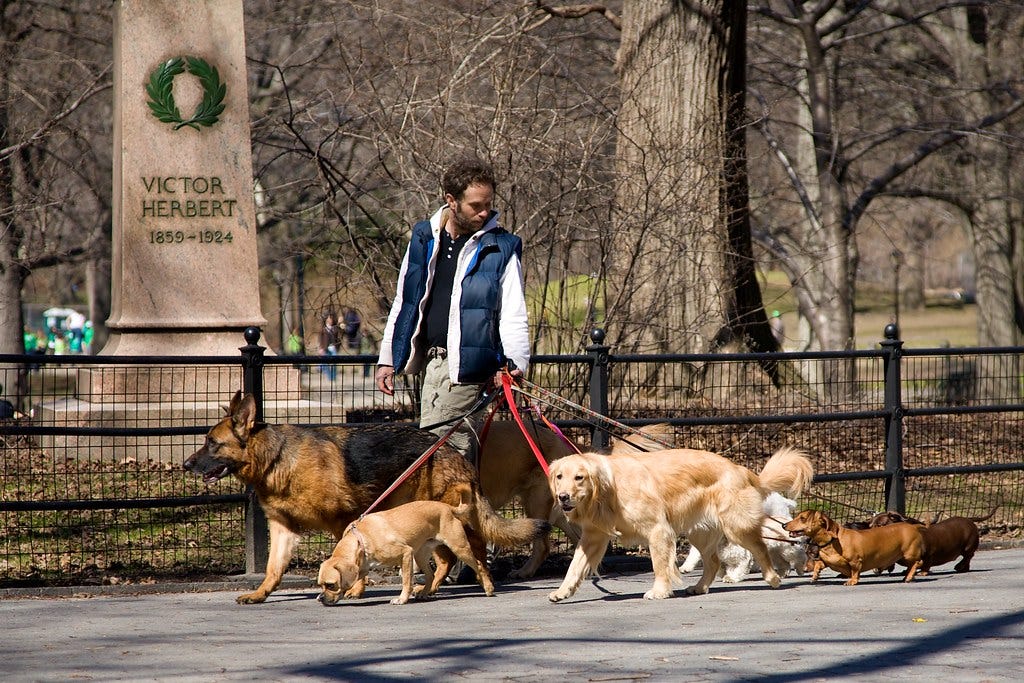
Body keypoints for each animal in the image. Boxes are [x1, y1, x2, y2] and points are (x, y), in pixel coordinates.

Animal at [319, 499, 495, 606]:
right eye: (320, 585)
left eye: (331, 585)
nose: (320, 598)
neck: (361, 538)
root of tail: (447, 507)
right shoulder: (362, 567)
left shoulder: (406, 554)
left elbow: (406, 581)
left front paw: (402, 599)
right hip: (421, 555)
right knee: (431, 575)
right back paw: (424, 592)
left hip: (459, 548)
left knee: (479, 565)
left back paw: (488, 588)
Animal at [786, 509, 925, 585]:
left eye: (802, 518)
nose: (783, 525)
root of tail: (911, 526)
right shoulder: (826, 562)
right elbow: (819, 565)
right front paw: (815, 576)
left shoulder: (855, 561)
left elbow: (855, 571)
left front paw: (852, 580)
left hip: (907, 555)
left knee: (917, 562)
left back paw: (910, 576)